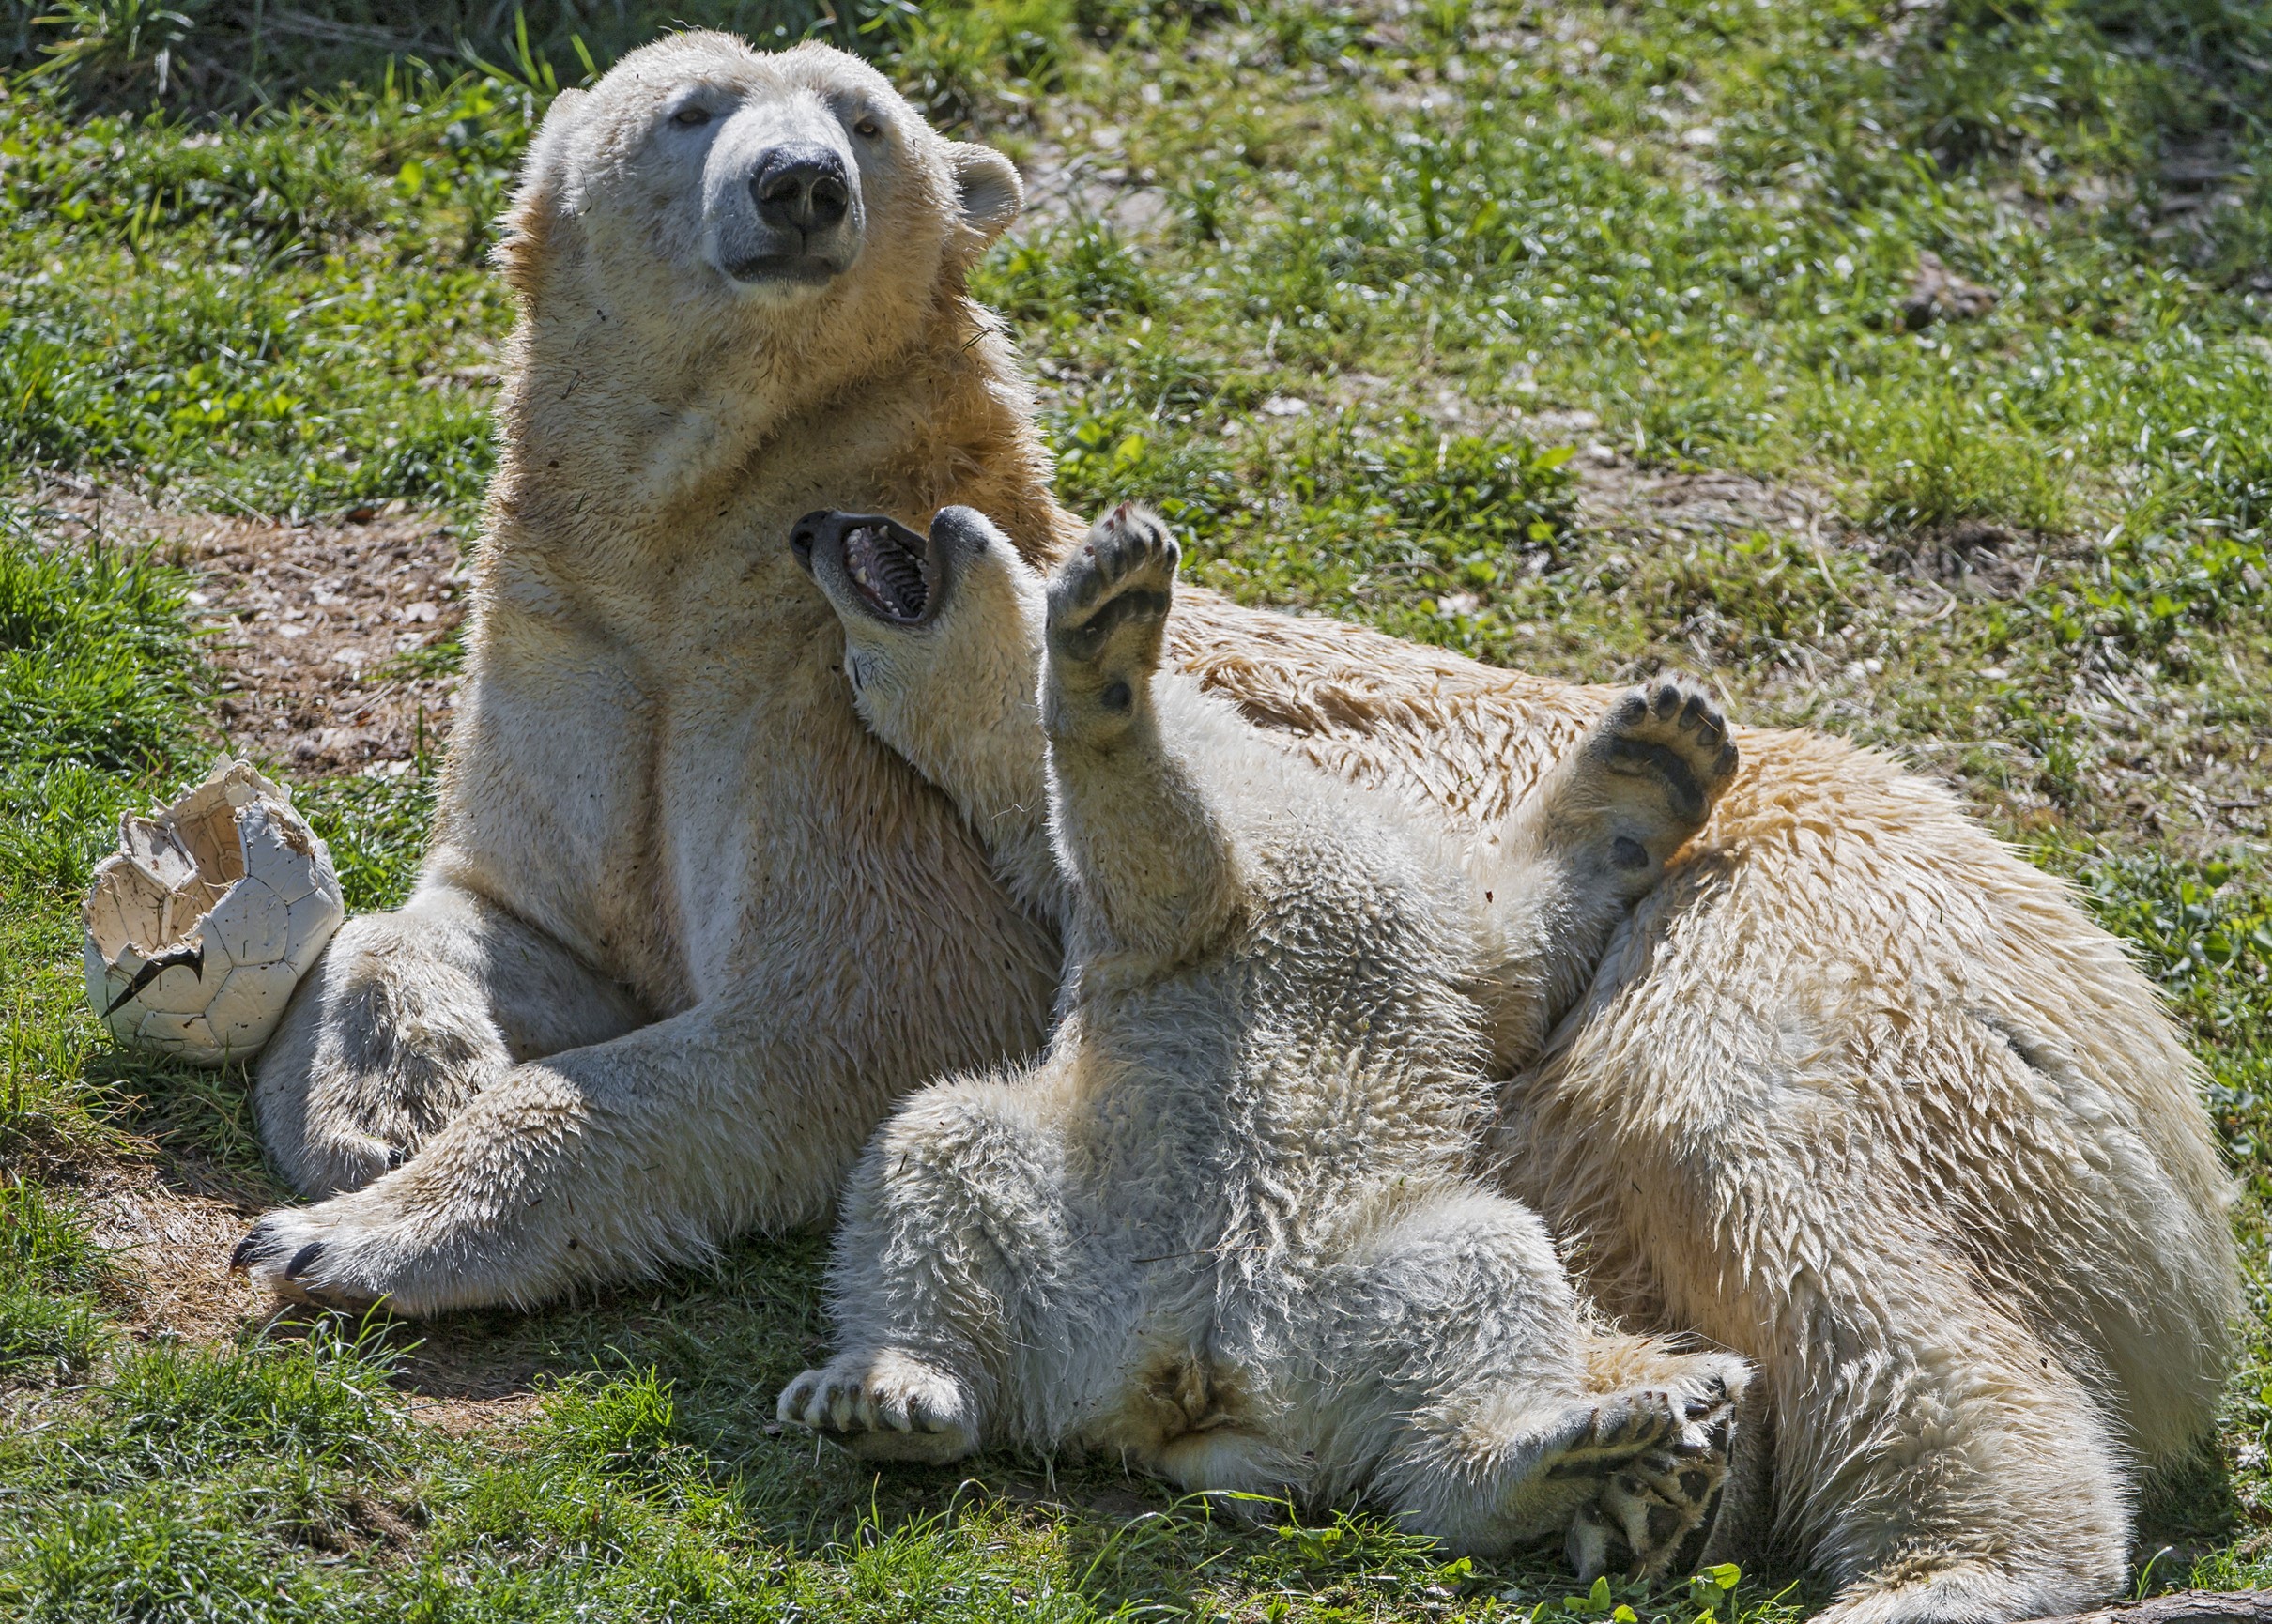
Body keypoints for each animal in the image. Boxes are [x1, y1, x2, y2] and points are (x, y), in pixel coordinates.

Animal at [778, 500, 1752, 1577]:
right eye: (854, 665)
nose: (812, 523)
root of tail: (1186, 1389)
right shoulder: (1138, 878)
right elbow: (1171, 867)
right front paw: (1105, 633)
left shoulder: (1426, 901)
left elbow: (1515, 951)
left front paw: (1662, 752)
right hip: (1073, 1239)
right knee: (939, 1147)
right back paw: (889, 1393)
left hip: (1352, 1290)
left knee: (1475, 1285)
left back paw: (1582, 1449)